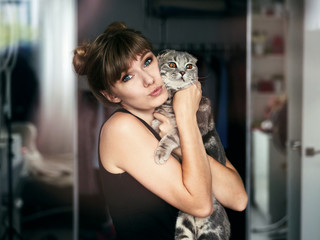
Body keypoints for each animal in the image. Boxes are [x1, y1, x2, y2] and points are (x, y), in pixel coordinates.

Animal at [152, 49, 230, 239]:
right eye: (172, 64)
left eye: (189, 66)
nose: (182, 72)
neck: (171, 98)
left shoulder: (192, 126)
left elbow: (170, 137)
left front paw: (160, 153)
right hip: (182, 224)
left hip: (210, 231)